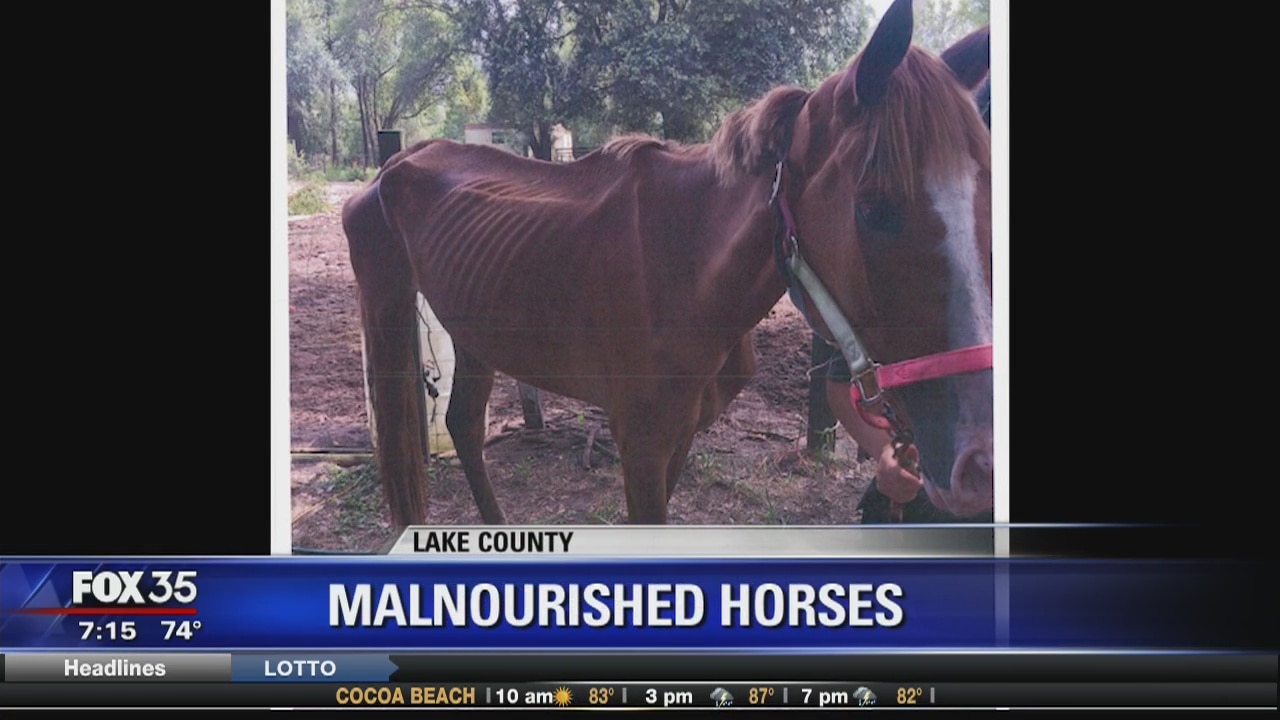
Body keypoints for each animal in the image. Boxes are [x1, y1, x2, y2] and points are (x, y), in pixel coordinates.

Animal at [343, 0, 992, 527]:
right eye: (874, 208)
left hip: (476, 331)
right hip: (389, 309)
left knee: (464, 427)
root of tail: (396, 163)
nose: (979, 464)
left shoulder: (678, 438)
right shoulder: (641, 445)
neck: (688, 269)